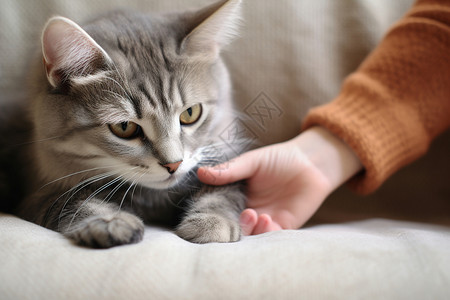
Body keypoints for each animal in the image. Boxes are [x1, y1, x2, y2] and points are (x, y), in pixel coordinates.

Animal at [10, 0, 248, 248]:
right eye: (124, 127)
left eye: (190, 114)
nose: (173, 164)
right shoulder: (37, 195)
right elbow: (76, 202)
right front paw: (110, 221)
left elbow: (223, 190)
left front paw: (212, 220)